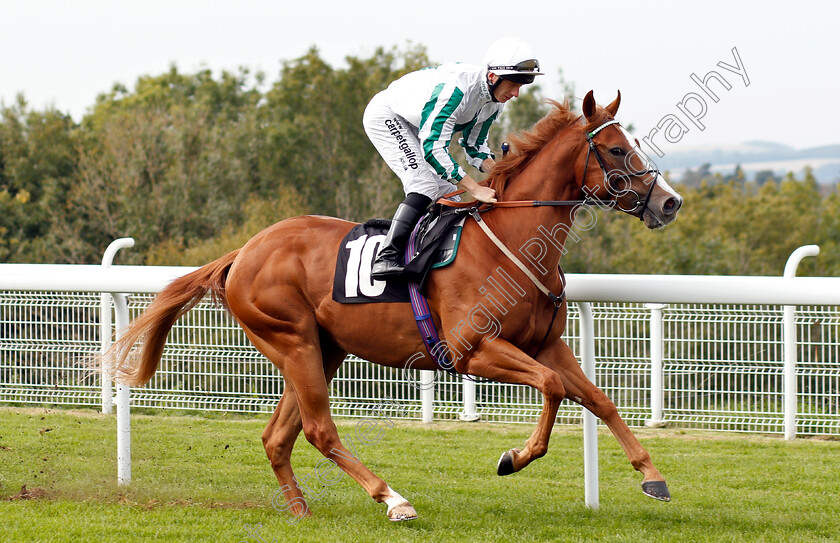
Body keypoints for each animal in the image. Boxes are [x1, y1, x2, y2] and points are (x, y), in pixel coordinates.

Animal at [111, 91, 684, 520]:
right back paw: (392, 499)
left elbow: (598, 399)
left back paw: (300, 510)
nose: (669, 202)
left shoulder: (545, 345)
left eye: (631, 143)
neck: (512, 242)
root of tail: (244, 251)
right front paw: (513, 457)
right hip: (292, 342)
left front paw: (653, 477)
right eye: (615, 150)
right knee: (319, 430)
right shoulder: (473, 351)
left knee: (279, 437)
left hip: (321, 351)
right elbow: (552, 388)